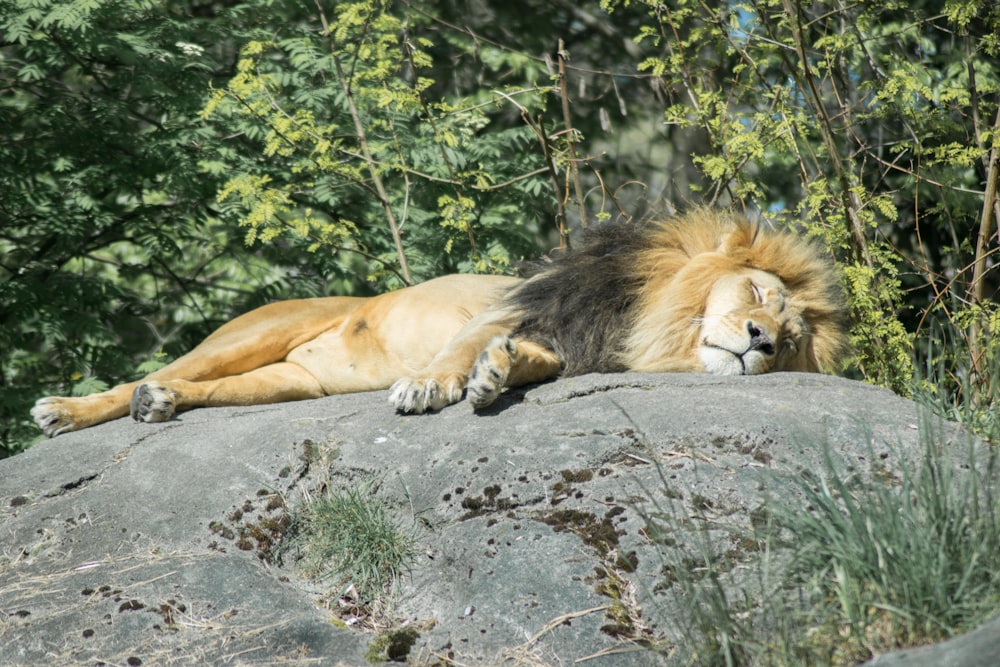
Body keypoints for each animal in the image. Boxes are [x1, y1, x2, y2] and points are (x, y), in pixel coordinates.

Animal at [31, 210, 848, 438]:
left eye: (791, 342)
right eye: (755, 291)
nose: (760, 341)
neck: (649, 323)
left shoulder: (556, 340)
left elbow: (522, 361)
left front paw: (495, 376)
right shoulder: (508, 305)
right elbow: (459, 346)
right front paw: (429, 387)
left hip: (286, 383)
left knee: (195, 390)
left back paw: (162, 405)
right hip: (253, 331)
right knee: (153, 372)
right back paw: (70, 409)